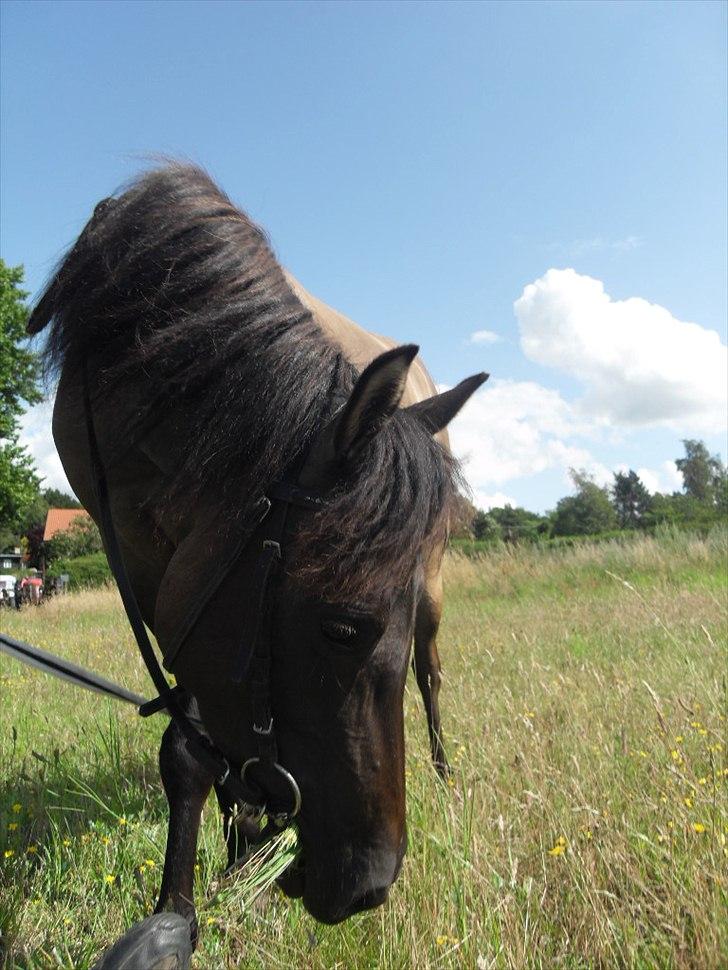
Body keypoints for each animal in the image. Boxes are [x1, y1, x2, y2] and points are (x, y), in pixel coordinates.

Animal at [28, 163, 486, 932]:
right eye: (340, 628)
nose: (370, 883)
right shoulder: (157, 567)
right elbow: (194, 740)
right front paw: (205, 879)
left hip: (432, 576)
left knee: (430, 671)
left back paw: (446, 772)